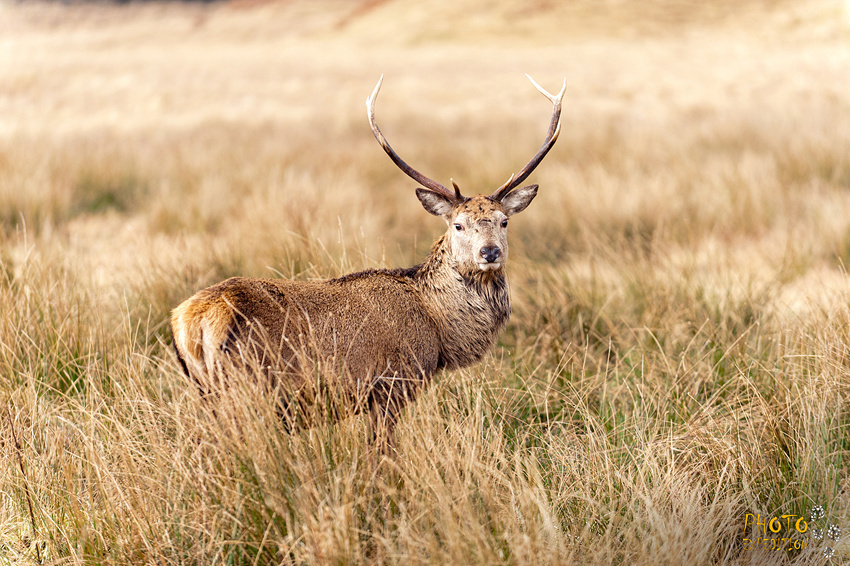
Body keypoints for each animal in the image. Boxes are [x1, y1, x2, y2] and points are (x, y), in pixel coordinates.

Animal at [170, 73, 564, 442]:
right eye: (458, 225)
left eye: (504, 221)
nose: (490, 252)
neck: (439, 329)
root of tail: (191, 321)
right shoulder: (391, 384)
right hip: (244, 391)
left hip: (205, 390)